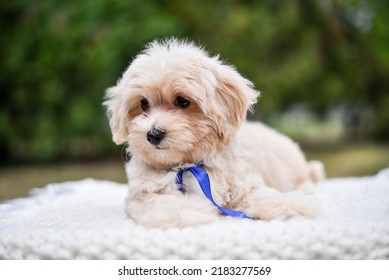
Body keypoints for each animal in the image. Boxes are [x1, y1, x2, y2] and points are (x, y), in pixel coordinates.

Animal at [102, 38, 322, 228]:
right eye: (143, 104)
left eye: (183, 101)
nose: (153, 134)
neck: (189, 164)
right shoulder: (143, 193)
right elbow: (165, 204)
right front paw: (191, 211)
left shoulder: (243, 183)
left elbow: (261, 195)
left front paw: (290, 204)